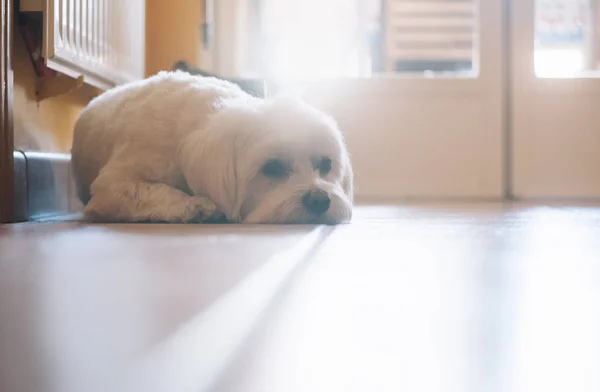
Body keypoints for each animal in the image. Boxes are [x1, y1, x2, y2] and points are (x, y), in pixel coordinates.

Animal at [71, 71, 354, 224]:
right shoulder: (111, 187)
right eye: (272, 167)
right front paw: (194, 206)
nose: (320, 200)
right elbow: (151, 190)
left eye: (326, 164)